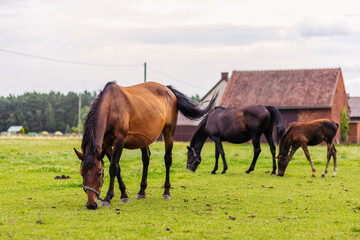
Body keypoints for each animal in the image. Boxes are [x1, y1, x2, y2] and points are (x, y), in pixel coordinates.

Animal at [73, 81, 214, 209]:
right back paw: (141, 192)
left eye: (99, 173)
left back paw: (166, 192)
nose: (91, 204)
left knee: (168, 160)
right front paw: (124, 195)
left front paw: (107, 198)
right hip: (143, 139)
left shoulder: (119, 141)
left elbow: (113, 168)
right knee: (146, 159)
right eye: (82, 174)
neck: (111, 107)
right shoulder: (106, 144)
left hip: (168, 133)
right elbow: (118, 168)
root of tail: (169, 90)